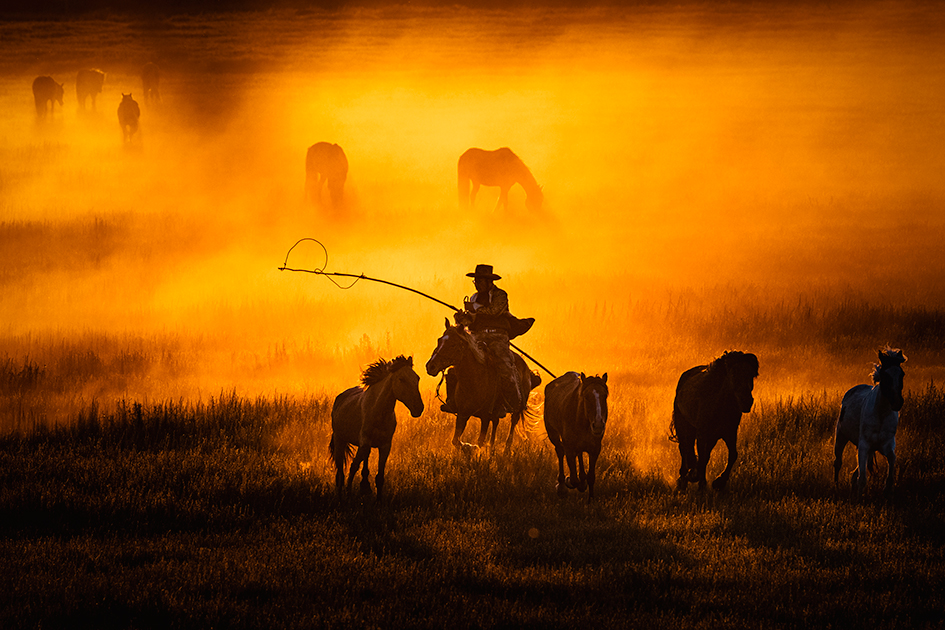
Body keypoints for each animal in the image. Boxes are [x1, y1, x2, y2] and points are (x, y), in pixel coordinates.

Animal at [330, 356, 422, 504]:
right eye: (401, 379)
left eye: (417, 378)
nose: (418, 408)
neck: (378, 411)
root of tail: (340, 398)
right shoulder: (365, 443)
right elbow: (359, 468)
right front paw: (357, 491)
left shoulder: (385, 446)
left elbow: (379, 477)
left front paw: (378, 501)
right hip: (340, 440)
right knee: (340, 473)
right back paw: (340, 497)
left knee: (358, 465)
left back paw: (357, 491)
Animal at [426, 320, 540, 454]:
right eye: (439, 340)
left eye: (453, 344)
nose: (430, 366)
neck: (473, 382)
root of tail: (527, 369)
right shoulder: (463, 414)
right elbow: (455, 440)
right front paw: (468, 447)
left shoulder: (485, 417)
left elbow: (479, 442)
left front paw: (472, 447)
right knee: (496, 423)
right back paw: (491, 447)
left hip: (517, 408)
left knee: (513, 423)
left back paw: (506, 450)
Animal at [544, 372, 608, 502]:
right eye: (586, 396)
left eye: (605, 396)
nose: (598, 425)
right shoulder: (569, 448)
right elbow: (573, 480)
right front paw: (568, 482)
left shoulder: (595, 449)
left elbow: (591, 477)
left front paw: (591, 500)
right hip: (552, 433)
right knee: (560, 451)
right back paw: (562, 485)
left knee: (579, 453)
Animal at [672, 350, 760, 494]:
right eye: (733, 374)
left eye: (751, 375)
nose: (746, 401)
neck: (719, 404)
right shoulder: (702, 435)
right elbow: (703, 459)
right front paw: (700, 484)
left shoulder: (729, 433)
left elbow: (733, 455)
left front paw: (719, 482)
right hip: (685, 426)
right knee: (684, 448)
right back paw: (683, 480)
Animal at [832, 348, 908, 502]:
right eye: (885, 375)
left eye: (902, 374)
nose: (897, 402)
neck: (881, 414)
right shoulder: (864, 445)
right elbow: (862, 478)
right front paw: (859, 500)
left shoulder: (886, 445)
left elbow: (892, 460)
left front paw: (887, 491)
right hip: (841, 436)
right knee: (838, 463)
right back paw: (836, 488)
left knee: (856, 472)